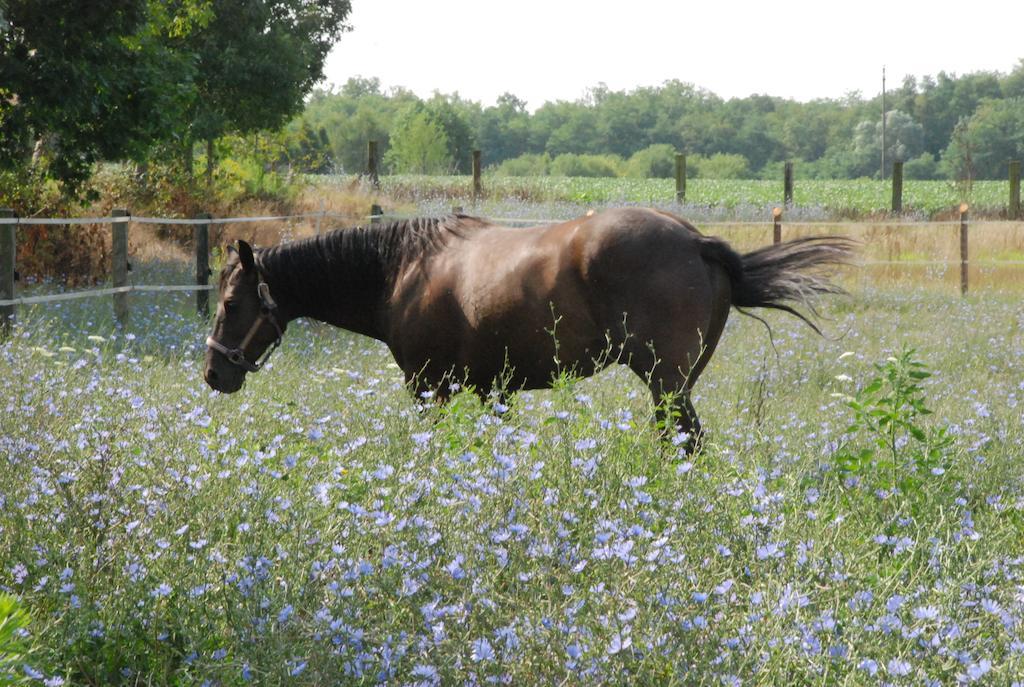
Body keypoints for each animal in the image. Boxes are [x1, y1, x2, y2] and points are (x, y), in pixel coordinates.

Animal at [203, 207, 851, 450]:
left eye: (232, 303)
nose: (213, 373)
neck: (403, 269)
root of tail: (698, 241)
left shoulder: (430, 390)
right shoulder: (494, 391)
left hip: (668, 385)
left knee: (683, 442)